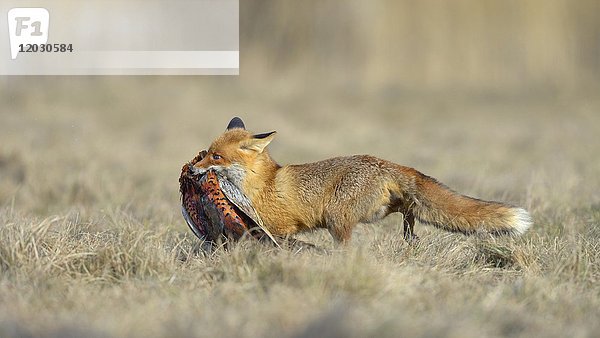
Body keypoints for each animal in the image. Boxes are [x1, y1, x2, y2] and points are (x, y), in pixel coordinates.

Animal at [191, 117, 528, 242]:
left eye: (215, 157)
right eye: (206, 154)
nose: (193, 171)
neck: (263, 184)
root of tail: (383, 161)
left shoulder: (280, 227)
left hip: (337, 217)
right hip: (377, 209)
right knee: (408, 208)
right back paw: (410, 235)